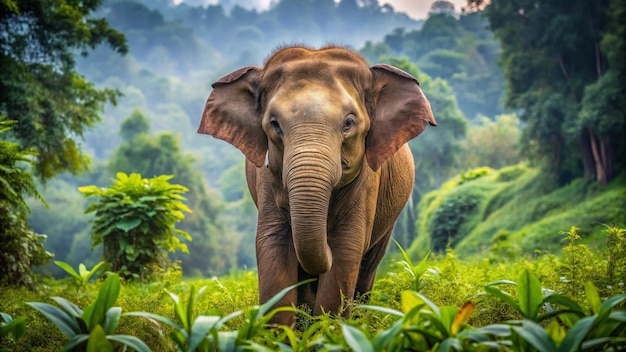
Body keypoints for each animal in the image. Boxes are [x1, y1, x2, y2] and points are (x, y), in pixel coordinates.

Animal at [196, 45, 434, 326]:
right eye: (274, 124)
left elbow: (346, 246)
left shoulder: (367, 180)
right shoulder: (267, 178)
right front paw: (280, 331)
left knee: (369, 263)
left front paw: (328, 328)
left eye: (349, 123)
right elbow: (273, 242)